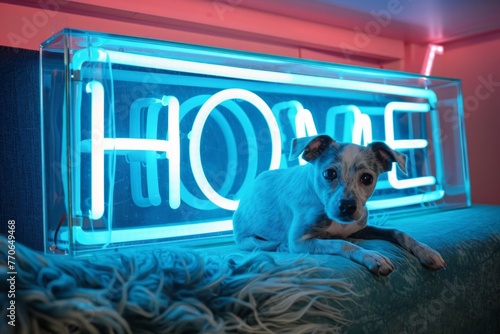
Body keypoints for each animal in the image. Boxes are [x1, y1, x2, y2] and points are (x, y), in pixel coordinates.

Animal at [232, 134, 448, 276]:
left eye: (367, 178)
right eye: (329, 173)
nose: (347, 207)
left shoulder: (358, 228)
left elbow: (397, 231)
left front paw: (426, 251)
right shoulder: (301, 241)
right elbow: (342, 243)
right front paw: (371, 256)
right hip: (249, 241)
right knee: (269, 245)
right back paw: (282, 246)